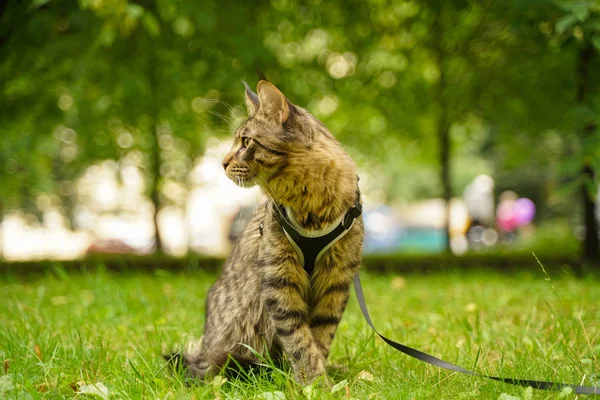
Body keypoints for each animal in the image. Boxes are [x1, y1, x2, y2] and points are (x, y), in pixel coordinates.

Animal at [170, 77, 366, 384]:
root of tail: (201, 355)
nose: (223, 163)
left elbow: (320, 338)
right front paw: (313, 383)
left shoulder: (335, 282)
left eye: (245, 141)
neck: (310, 206)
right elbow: (299, 340)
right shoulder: (278, 278)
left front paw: (320, 380)